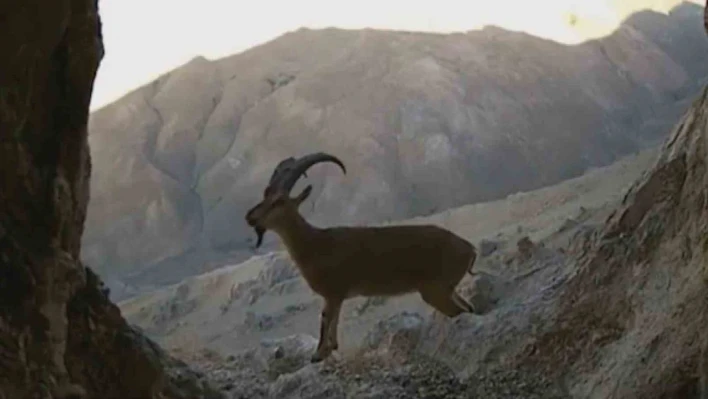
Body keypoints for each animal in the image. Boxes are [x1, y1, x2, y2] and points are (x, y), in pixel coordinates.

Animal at [246, 152, 478, 362]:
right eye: (265, 196)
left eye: (278, 201)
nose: (250, 217)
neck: (314, 243)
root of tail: (469, 248)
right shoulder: (337, 297)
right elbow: (333, 321)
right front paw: (331, 348)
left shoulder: (333, 292)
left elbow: (325, 319)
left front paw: (318, 354)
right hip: (447, 289)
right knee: (469, 308)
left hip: (435, 290)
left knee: (461, 312)